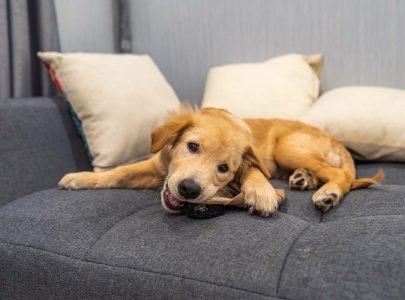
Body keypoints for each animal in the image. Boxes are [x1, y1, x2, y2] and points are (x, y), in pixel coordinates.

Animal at [57, 106, 382, 217]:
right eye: (192, 146)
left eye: (223, 168)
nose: (188, 189)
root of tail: (334, 139)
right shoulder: (156, 167)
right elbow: (119, 172)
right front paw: (80, 178)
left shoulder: (251, 162)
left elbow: (253, 172)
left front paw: (261, 193)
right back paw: (304, 178)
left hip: (287, 147)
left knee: (342, 176)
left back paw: (328, 193)